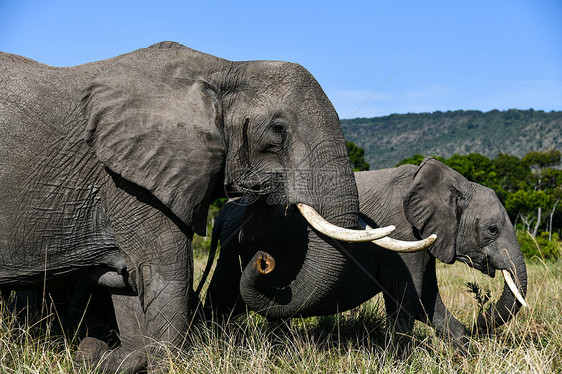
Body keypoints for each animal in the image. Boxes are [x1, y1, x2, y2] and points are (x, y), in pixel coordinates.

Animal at [0, 41, 402, 372]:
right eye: (277, 130)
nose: (263, 260)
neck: (225, 68)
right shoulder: (126, 178)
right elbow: (168, 275)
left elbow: (130, 286)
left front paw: (112, 357)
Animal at [202, 157, 524, 348]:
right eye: (492, 230)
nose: (480, 320)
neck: (455, 182)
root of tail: (222, 213)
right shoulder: (404, 232)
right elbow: (409, 299)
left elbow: (428, 301)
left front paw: (465, 351)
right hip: (236, 249)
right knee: (221, 302)